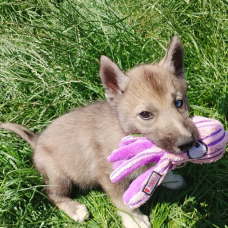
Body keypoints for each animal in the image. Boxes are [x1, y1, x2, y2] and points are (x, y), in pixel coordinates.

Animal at [0, 35, 198, 228]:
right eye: (145, 114)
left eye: (179, 103)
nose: (187, 143)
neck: (124, 132)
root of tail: (36, 140)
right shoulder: (109, 177)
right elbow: (123, 203)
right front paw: (134, 220)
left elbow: (155, 169)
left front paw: (170, 179)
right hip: (57, 176)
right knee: (53, 195)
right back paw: (75, 209)